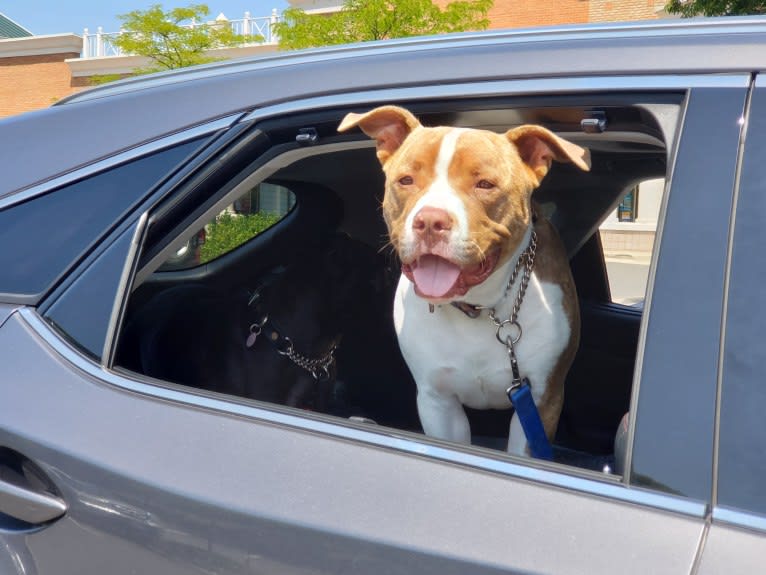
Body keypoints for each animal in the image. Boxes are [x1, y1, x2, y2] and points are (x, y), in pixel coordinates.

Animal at [340, 107, 592, 460]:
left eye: (485, 184)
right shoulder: (438, 402)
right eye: (406, 180)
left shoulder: (542, 400)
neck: (482, 305)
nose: (430, 221)